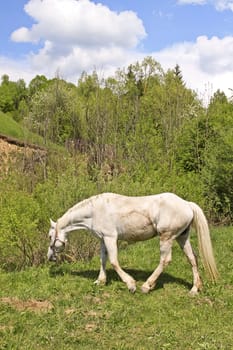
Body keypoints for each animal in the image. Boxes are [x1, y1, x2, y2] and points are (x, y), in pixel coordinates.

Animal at [47, 193, 218, 294]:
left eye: (50, 236)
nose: (50, 257)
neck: (94, 211)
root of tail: (187, 204)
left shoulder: (111, 238)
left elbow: (114, 261)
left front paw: (131, 284)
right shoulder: (103, 239)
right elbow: (103, 260)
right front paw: (100, 281)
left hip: (167, 237)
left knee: (165, 260)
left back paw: (147, 286)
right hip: (182, 237)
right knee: (192, 258)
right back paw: (194, 289)